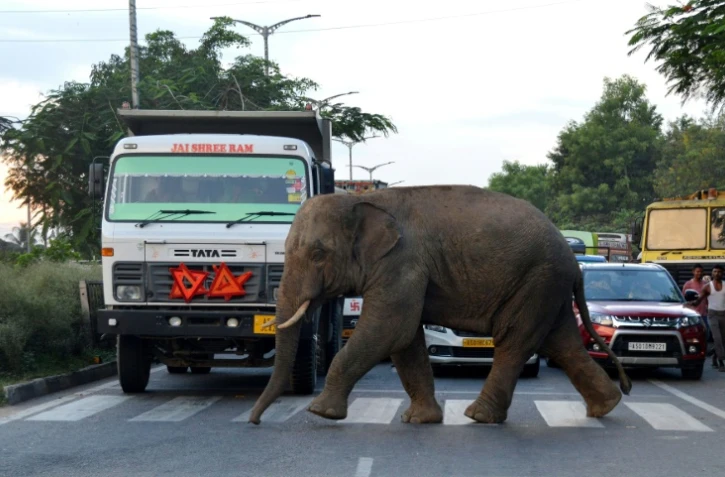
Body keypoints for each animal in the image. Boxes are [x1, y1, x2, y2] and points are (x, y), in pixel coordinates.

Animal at [248, 185, 632, 425]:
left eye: (318, 254)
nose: (254, 421)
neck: (367, 199)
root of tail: (573, 260)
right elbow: (405, 340)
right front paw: (420, 420)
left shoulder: (402, 263)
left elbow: (389, 329)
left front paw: (320, 412)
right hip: (548, 287)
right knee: (561, 343)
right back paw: (606, 407)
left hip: (537, 280)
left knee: (516, 341)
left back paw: (478, 416)